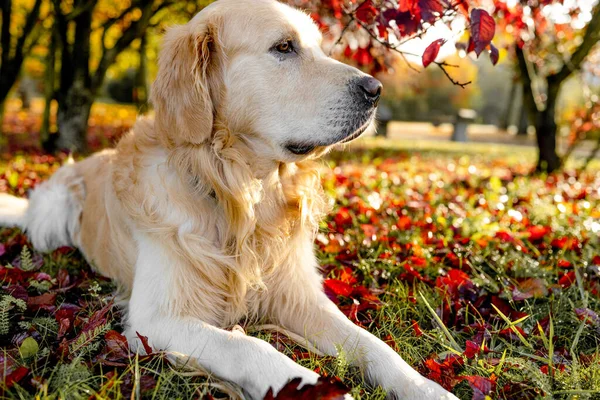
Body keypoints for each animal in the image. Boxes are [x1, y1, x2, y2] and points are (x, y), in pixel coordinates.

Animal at [2, 1, 458, 398]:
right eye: (284, 47)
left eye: (319, 46)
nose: (375, 89)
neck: (242, 195)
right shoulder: (156, 319)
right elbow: (250, 346)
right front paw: (315, 389)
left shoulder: (298, 296)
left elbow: (372, 343)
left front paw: (426, 389)